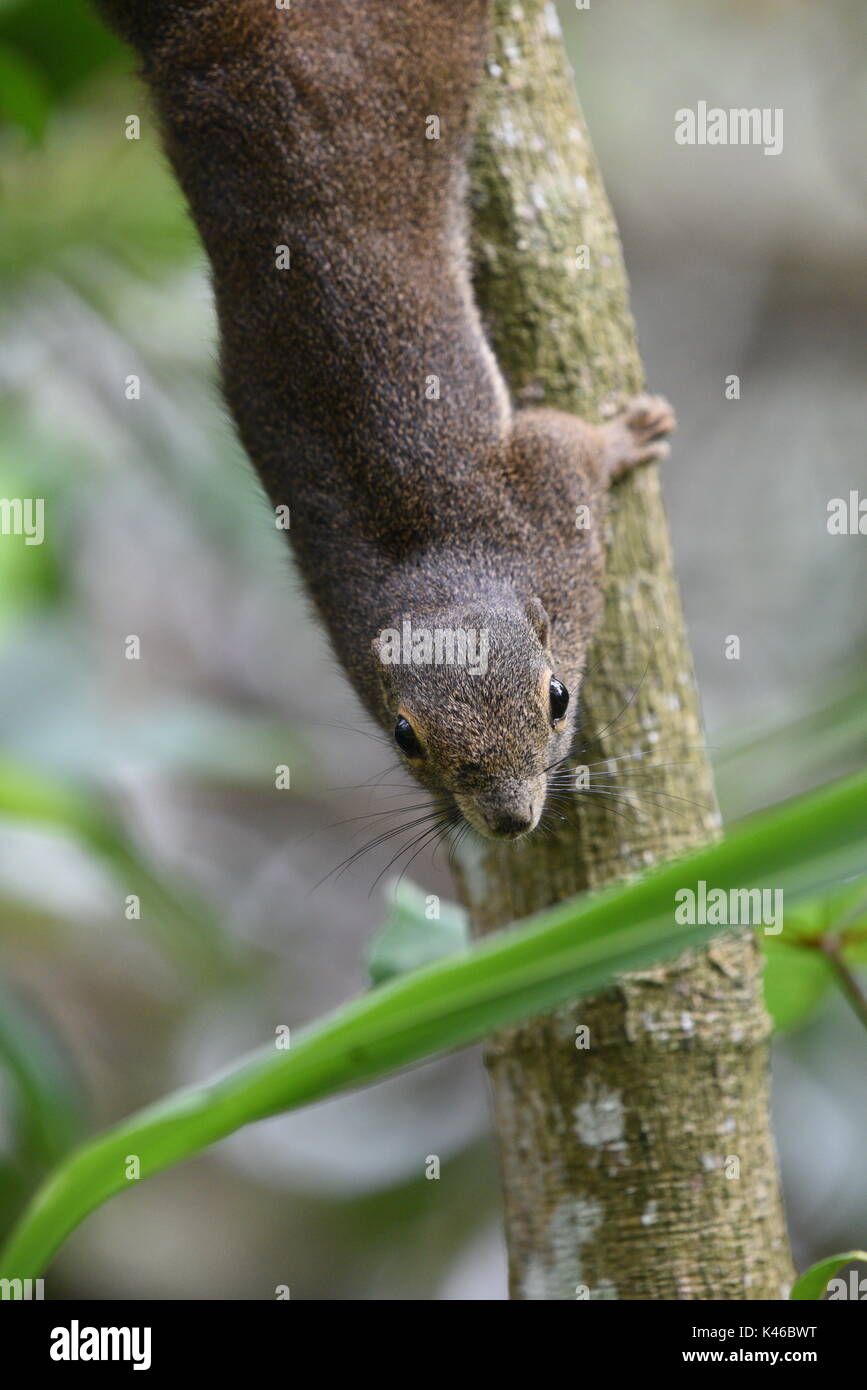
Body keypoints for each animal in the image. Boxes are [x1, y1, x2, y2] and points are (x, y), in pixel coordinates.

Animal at [96, 0, 678, 834]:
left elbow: (568, 442)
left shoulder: (546, 503)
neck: (441, 573)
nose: (508, 820)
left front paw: (629, 433)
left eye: (557, 699)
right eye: (405, 737)